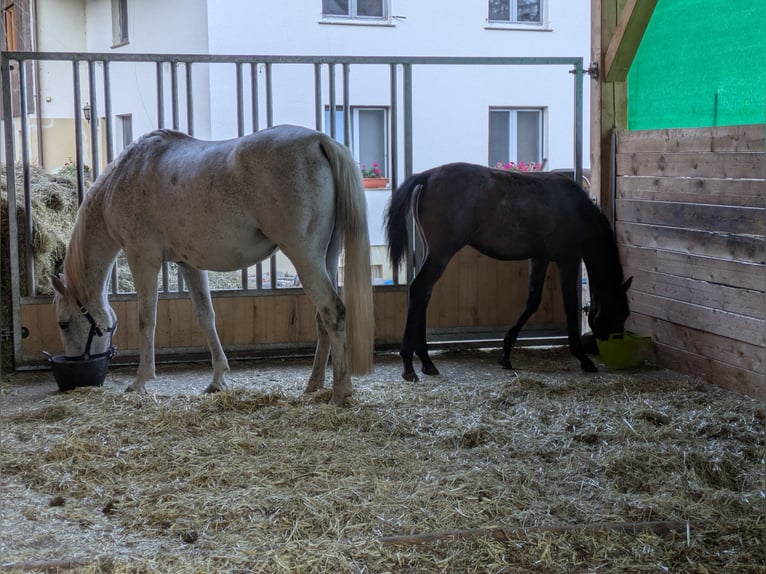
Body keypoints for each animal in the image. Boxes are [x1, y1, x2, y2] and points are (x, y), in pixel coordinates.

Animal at [52, 124, 375, 406]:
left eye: (63, 323)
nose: (78, 369)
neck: (125, 177)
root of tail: (319, 140)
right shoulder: (188, 264)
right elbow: (206, 317)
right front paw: (218, 379)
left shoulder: (142, 258)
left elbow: (146, 320)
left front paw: (141, 380)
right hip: (326, 258)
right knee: (323, 318)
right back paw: (315, 384)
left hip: (304, 256)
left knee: (333, 311)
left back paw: (340, 392)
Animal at [385, 162, 631, 382]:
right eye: (620, 313)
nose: (614, 343)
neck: (577, 211)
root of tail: (428, 176)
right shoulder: (568, 260)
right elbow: (570, 306)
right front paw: (582, 358)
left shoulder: (540, 258)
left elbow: (532, 301)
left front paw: (505, 354)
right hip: (441, 253)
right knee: (419, 290)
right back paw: (409, 365)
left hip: (432, 253)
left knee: (423, 295)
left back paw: (426, 362)